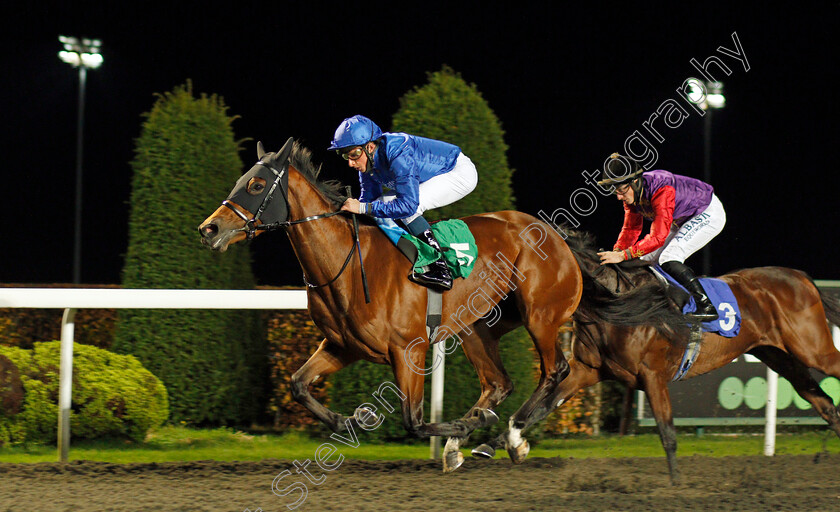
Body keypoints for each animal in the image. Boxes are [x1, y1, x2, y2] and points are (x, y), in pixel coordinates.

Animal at [200, 139, 684, 472]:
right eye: (241, 181)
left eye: (256, 184)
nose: (209, 230)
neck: (347, 263)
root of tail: (557, 237)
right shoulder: (341, 346)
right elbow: (298, 385)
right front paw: (346, 418)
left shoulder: (408, 349)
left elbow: (414, 420)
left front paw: (456, 430)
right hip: (479, 326)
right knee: (499, 382)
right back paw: (481, 438)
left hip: (541, 316)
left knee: (555, 372)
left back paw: (508, 436)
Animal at [472, 228, 840, 484]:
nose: (491, 308)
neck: (616, 304)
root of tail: (803, 277)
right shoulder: (587, 370)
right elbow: (538, 409)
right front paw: (500, 444)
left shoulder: (652, 376)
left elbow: (667, 433)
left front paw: (675, 485)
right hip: (780, 356)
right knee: (825, 405)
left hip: (813, 349)